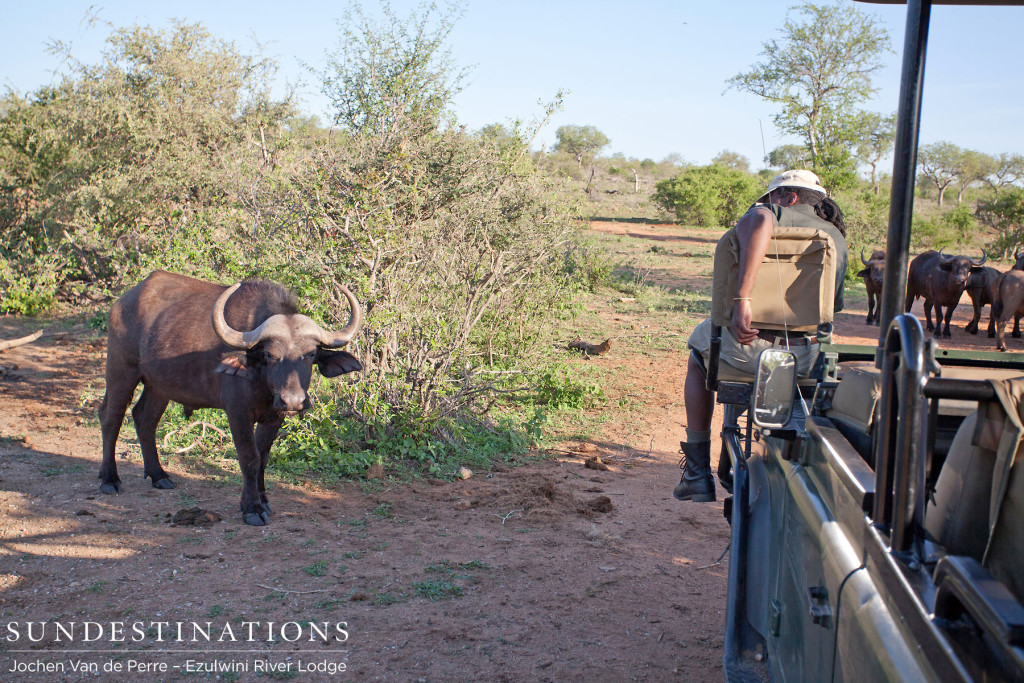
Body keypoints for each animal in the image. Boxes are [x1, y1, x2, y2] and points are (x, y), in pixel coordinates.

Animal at [98, 270, 364, 528]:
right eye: (269, 355)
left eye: (310, 355)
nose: (293, 402)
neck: (262, 382)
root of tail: (122, 301)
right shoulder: (238, 413)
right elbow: (249, 458)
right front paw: (252, 509)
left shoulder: (274, 417)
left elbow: (263, 457)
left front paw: (263, 500)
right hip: (121, 370)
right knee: (111, 417)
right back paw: (109, 479)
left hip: (159, 386)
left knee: (144, 418)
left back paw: (159, 475)